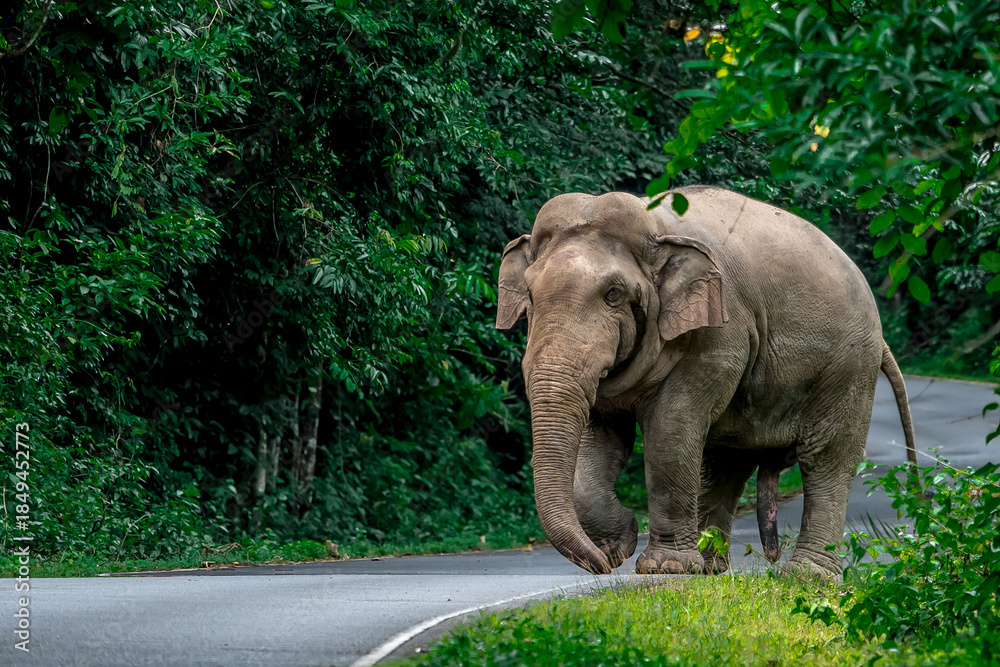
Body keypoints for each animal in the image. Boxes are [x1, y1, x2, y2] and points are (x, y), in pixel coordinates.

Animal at [495, 186, 916, 581]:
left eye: (613, 294)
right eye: (529, 294)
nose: (599, 566)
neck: (655, 226)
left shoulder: (720, 332)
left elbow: (671, 426)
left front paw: (664, 567)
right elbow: (601, 435)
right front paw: (621, 545)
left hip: (848, 365)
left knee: (826, 457)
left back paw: (806, 575)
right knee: (726, 462)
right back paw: (711, 567)